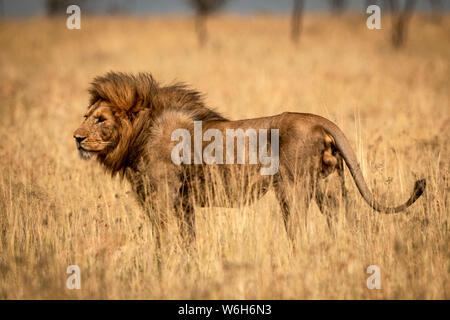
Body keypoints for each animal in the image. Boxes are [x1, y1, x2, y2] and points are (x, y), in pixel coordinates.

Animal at [73, 72, 426, 242]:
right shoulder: (184, 203)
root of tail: (319, 120)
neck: (139, 134)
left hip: (291, 190)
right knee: (344, 224)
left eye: (100, 120)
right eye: (87, 116)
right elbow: (188, 239)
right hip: (329, 188)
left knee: (298, 231)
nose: (76, 138)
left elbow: (163, 240)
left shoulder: (161, 197)